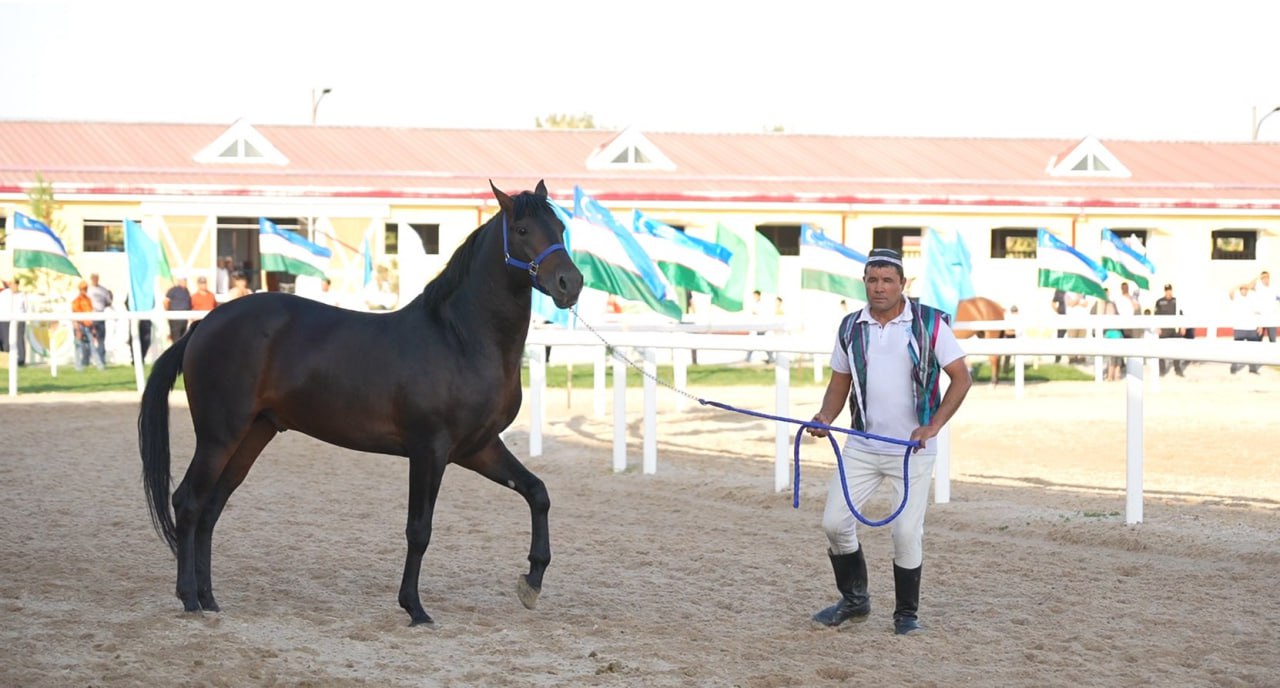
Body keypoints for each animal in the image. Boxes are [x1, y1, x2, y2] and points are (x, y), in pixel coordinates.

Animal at [139, 180, 583, 625]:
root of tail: (203, 326)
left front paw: (532, 581)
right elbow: (419, 529)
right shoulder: (430, 450)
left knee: (211, 508)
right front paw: (414, 607)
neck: (459, 338)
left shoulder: (478, 448)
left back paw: (210, 599)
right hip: (219, 436)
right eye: (522, 230)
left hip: (253, 434)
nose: (570, 283)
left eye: (560, 226)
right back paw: (190, 598)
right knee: (188, 502)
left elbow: (537, 492)